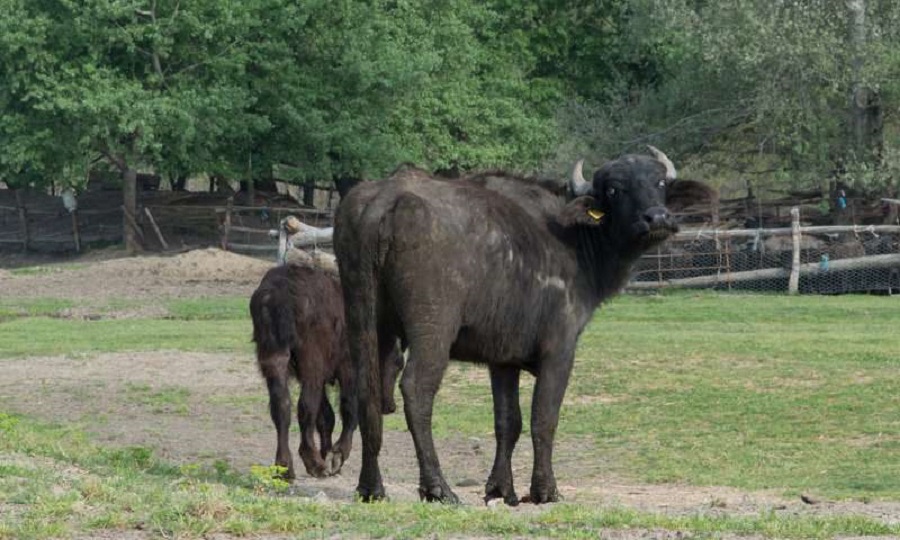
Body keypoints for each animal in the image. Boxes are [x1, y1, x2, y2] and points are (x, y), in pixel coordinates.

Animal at [246, 264, 400, 478]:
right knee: (305, 407)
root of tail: (275, 294)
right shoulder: (347, 370)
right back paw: (313, 462)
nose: (390, 406)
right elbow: (348, 410)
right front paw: (337, 456)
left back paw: (285, 467)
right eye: (398, 363)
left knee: (282, 407)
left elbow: (326, 417)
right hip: (312, 366)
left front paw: (327, 453)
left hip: (275, 359)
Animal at [334, 149, 712, 506]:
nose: (657, 218)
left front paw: (500, 489)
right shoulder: (560, 351)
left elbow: (508, 423)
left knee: (367, 391)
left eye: (659, 183)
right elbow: (544, 418)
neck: (575, 242)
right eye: (615, 190)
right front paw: (544, 489)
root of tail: (385, 201)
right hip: (432, 330)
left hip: (364, 319)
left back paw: (371, 487)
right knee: (416, 390)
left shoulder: (503, 360)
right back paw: (438, 487)